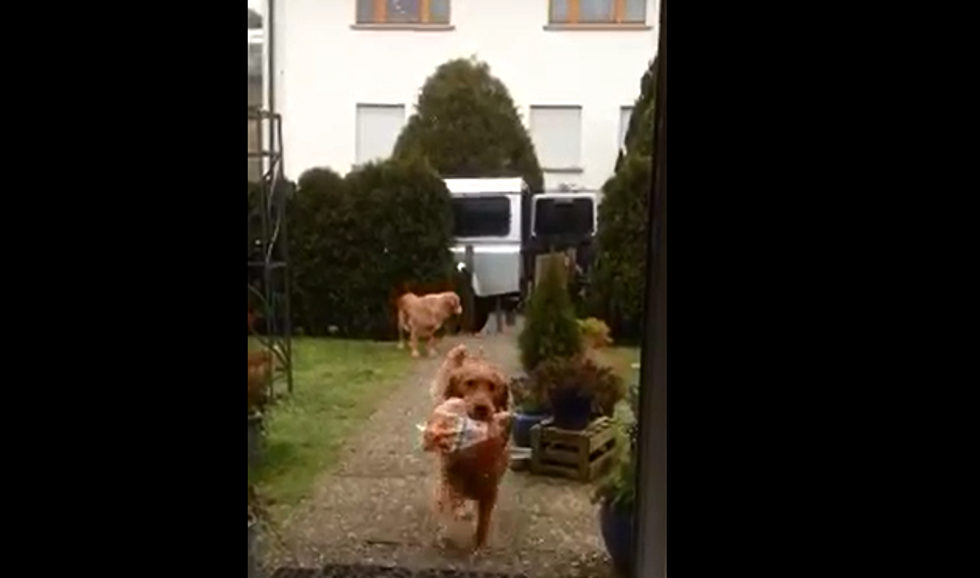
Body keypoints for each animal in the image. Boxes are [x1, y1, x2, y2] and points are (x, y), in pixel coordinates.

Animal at [424, 344, 510, 548]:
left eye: (492, 387)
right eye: (469, 383)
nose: (482, 408)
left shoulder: (490, 486)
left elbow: (483, 523)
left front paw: (479, 544)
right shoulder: (452, 474)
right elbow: (453, 499)